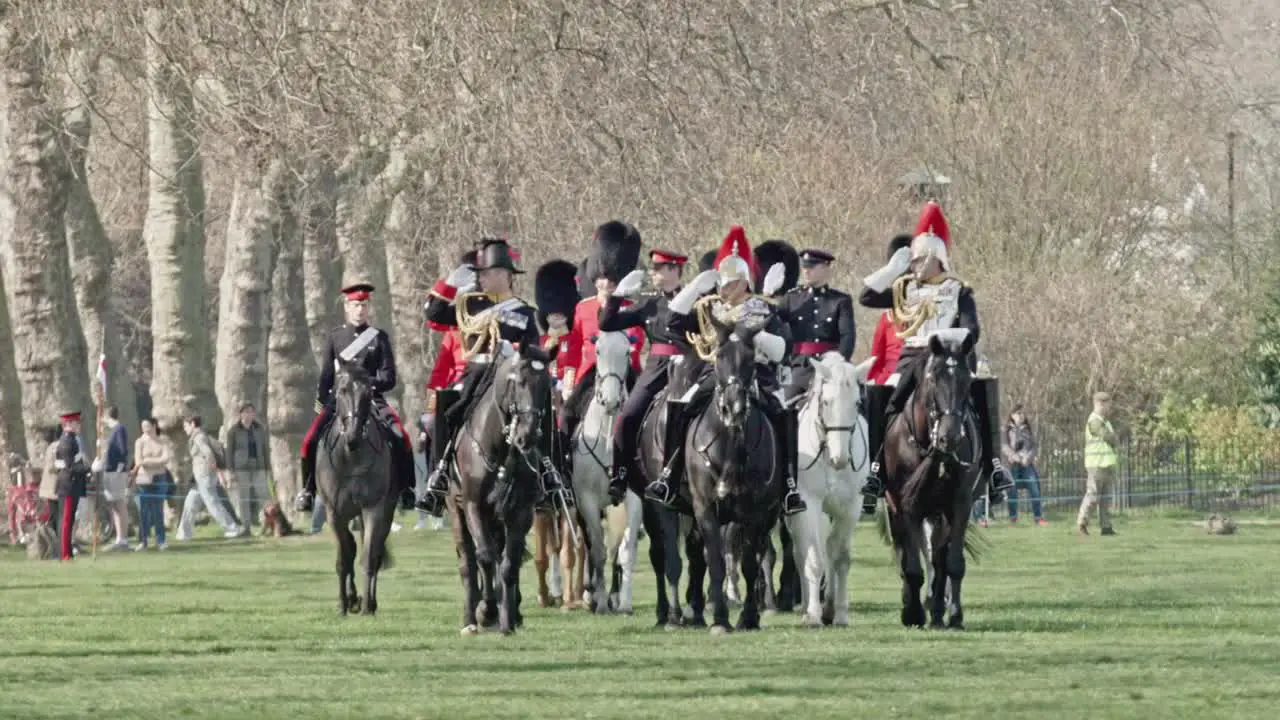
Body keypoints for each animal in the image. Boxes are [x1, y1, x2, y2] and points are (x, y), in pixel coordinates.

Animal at [313, 361, 394, 614]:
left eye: (368, 393)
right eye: (341, 391)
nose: (353, 436)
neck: (351, 457)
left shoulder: (373, 509)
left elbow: (368, 558)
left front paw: (367, 604)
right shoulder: (334, 514)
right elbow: (344, 558)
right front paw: (343, 604)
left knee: (374, 552)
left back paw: (369, 601)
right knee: (350, 548)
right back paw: (351, 598)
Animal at [448, 340, 558, 632]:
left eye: (546, 385)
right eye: (519, 381)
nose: (526, 436)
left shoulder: (520, 512)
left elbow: (510, 564)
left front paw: (508, 618)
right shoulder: (473, 505)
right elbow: (485, 557)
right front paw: (486, 611)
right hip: (456, 510)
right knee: (468, 562)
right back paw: (471, 617)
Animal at [783, 351, 875, 622]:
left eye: (857, 403)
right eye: (826, 402)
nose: (840, 458)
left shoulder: (850, 507)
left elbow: (840, 557)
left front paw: (840, 613)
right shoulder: (809, 506)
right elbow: (814, 559)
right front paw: (813, 614)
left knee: (829, 550)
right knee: (802, 553)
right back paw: (807, 606)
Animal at [885, 333, 983, 627]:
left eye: (968, 380)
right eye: (933, 378)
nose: (949, 437)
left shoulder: (960, 505)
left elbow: (952, 564)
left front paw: (954, 615)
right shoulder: (906, 505)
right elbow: (912, 567)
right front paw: (913, 613)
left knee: (938, 559)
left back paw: (938, 610)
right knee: (907, 554)